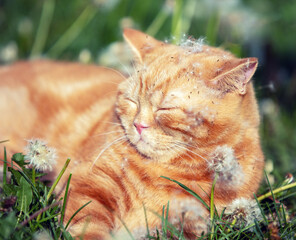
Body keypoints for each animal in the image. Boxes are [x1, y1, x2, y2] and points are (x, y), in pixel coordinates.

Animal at [0, 29, 264, 239]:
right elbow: (89, 227)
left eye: (165, 109)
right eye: (132, 101)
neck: (162, 171)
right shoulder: (91, 187)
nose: (138, 125)